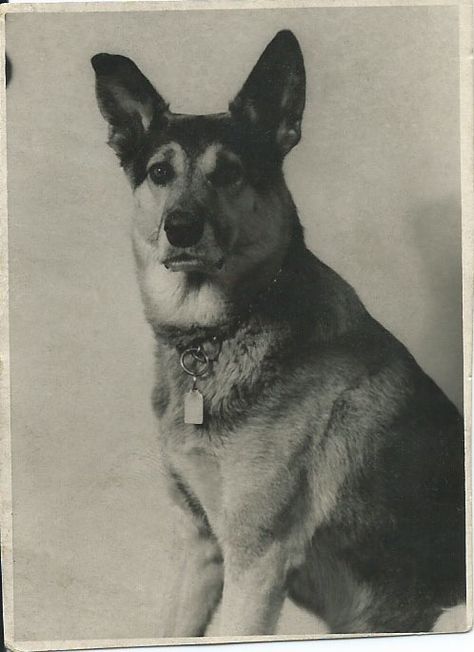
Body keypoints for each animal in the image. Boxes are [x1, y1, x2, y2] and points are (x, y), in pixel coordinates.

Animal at [90, 30, 464, 636]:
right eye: (159, 173)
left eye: (229, 173)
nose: (181, 228)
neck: (219, 334)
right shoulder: (200, 546)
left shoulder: (257, 559)